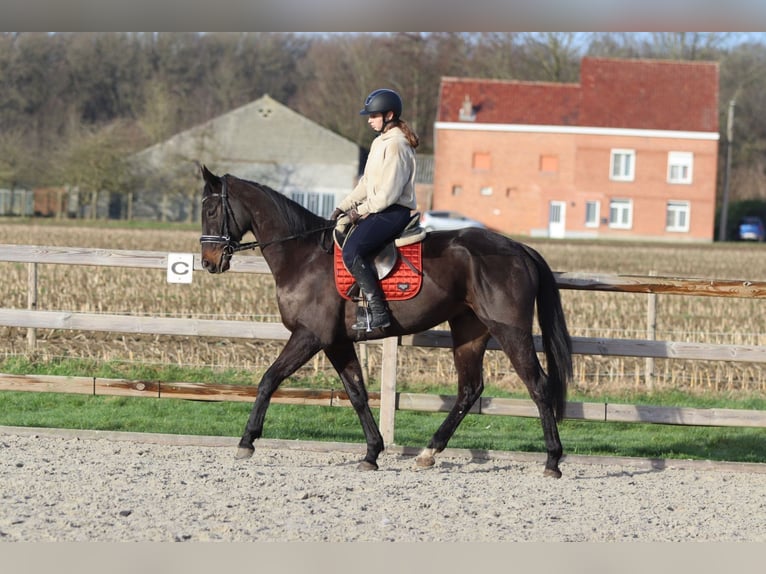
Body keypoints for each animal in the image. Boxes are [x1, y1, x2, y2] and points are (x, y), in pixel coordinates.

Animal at [198, 166, 573, 477]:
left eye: (211, 211)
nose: (208, 262)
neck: (302, 255)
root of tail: (519, 249)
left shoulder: (310, 336)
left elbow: (269, 380)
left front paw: (247, 441)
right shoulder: (337, 342)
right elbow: (357, 393)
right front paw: (372, 453)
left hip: (510, 331)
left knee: (538, 385)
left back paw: (553, 460)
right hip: (470, 329)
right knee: (469, 389)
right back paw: (428, 452)